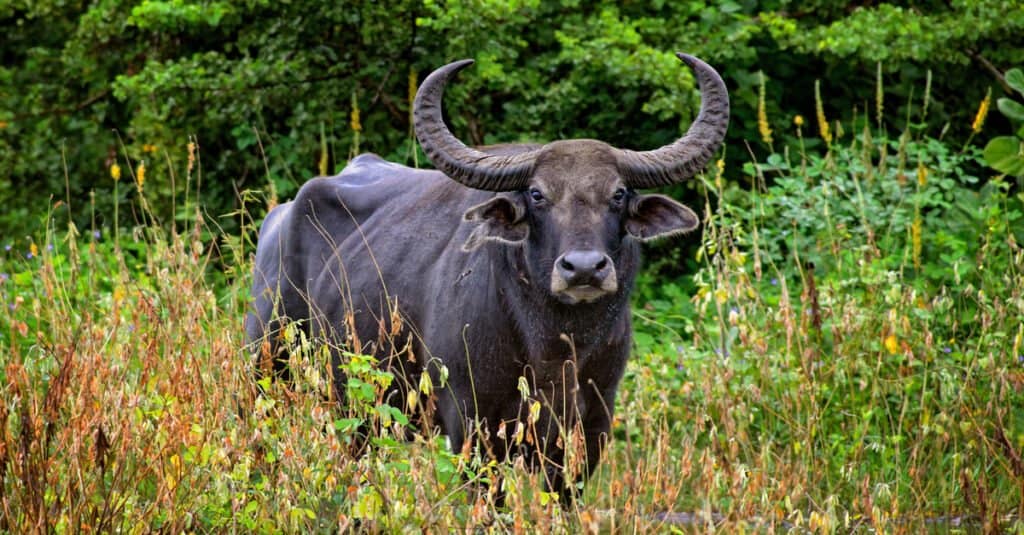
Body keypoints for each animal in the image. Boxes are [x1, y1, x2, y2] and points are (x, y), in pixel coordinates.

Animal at [245, 52, 729, 501]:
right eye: (536, 194)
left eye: (619, 193)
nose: (584, 268)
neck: (553, 346)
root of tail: (279, 219)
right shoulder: (473, 426)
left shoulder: (590, 427)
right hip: (267, 370)